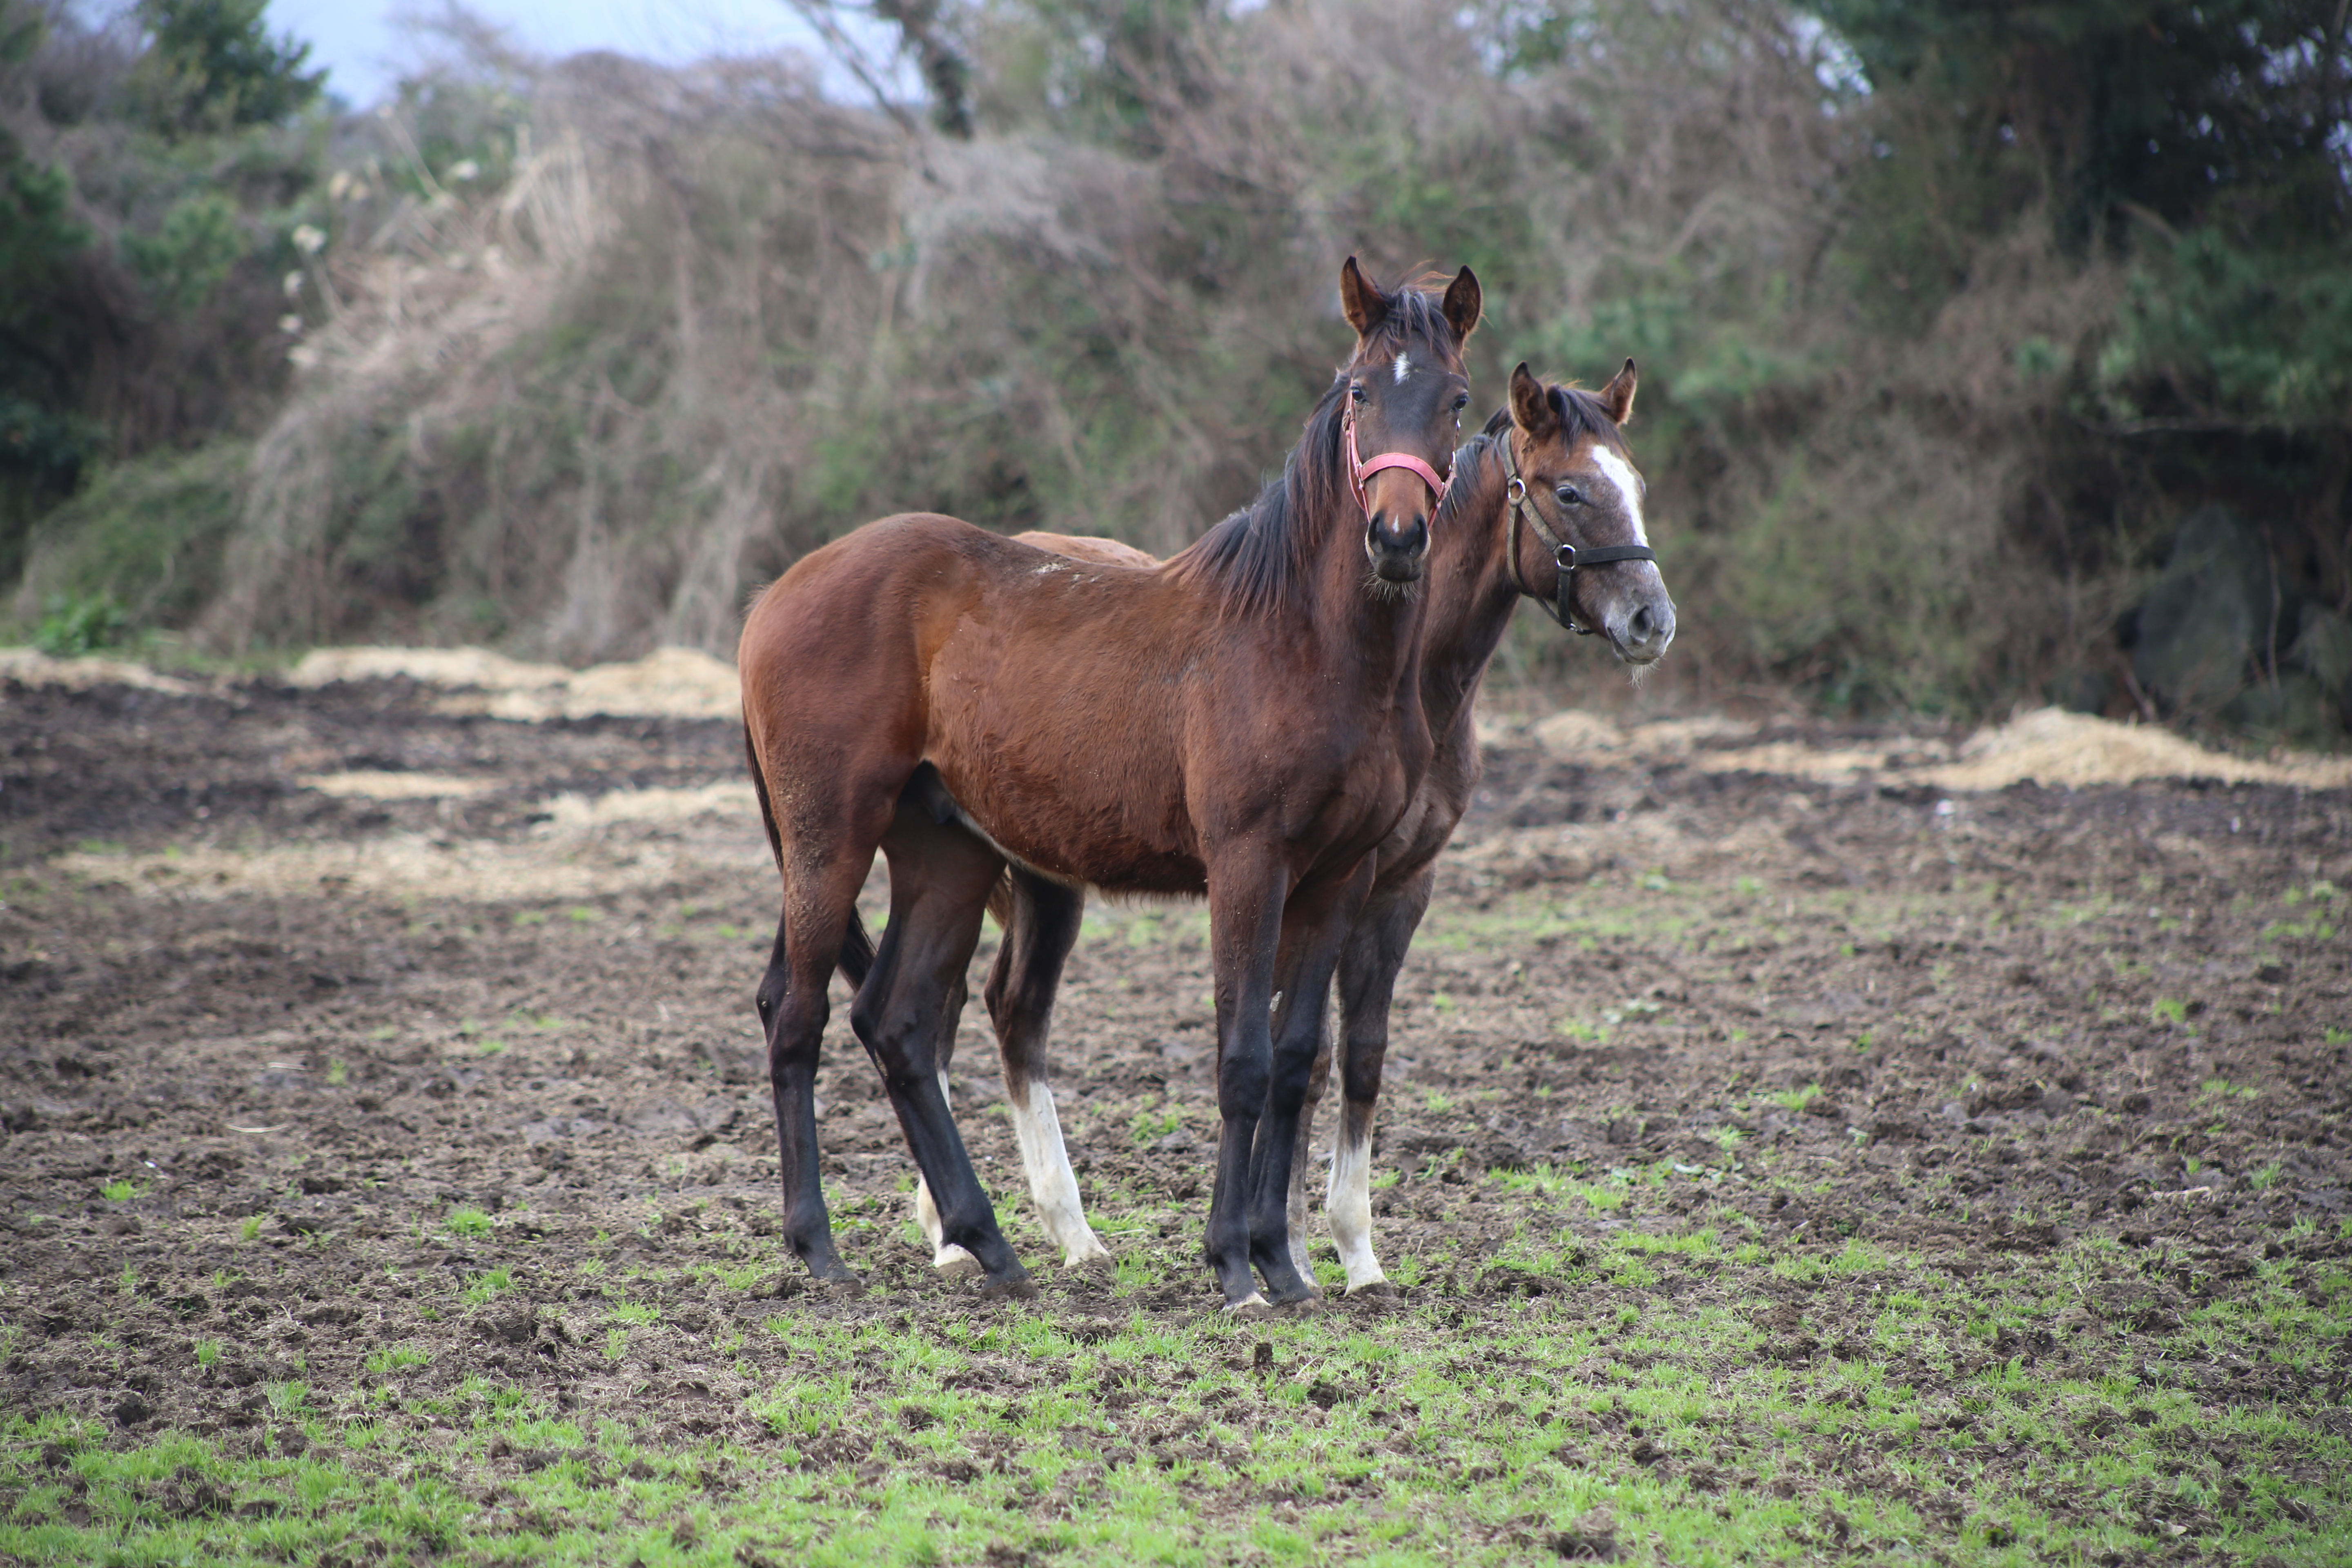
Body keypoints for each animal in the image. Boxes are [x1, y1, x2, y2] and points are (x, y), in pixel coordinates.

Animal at [734, 263, 1477, 1316]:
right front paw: (1232, 1265)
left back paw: (988, 1242)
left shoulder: (1338, 876)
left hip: (945, 856)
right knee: (796, 1016)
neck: (1302, 639)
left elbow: (1297, 1058)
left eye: (1454, 400)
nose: (1398, 537)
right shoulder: (1248, 864)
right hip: (828, 836)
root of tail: (776, 596)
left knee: (898, 1023)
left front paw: (1286, 1267)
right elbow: (1243, 1059)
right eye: (1362, 393)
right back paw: (820, 1247)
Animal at [893, 362, 1675, 1297]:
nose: (1652, 621)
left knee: (1010, 1012)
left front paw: (1349, 1255)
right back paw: (957, 1235)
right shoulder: (1304, 876)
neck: (1399, 678)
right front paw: (1293, 1246)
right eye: (1569, 490)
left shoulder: (1396, 886)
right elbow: (1288, 1052)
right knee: (951, 1014)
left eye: (1635, 485)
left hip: (1046, 875)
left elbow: (1350, 1055)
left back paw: (1065, 1234)